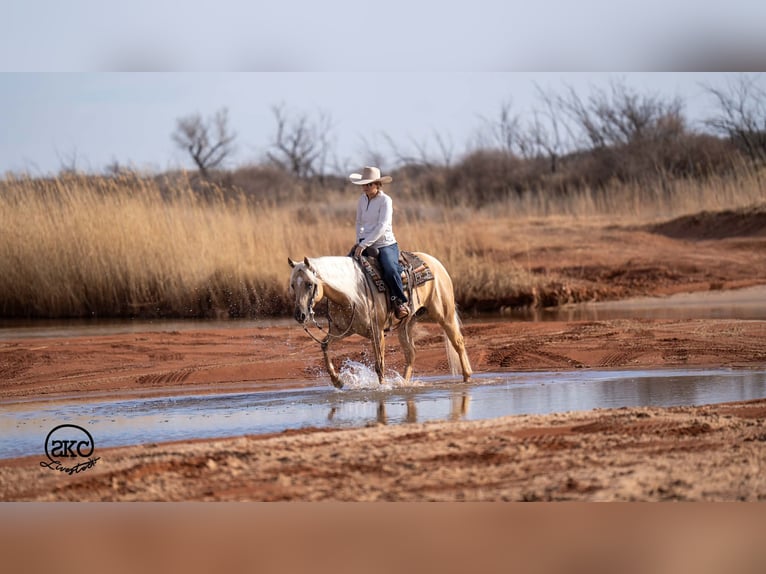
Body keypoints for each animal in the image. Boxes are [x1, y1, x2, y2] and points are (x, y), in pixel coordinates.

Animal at [288, 253, 472, 388]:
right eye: (292, 285)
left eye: (309, 284)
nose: (300, 315)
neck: (351, 293)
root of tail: (436, 263)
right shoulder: (342, 330)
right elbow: (324, 345)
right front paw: (337, 381)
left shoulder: (376, 332)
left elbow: (379, 365)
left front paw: (382, 388)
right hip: (407, 324)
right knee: (410, 353)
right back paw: (403, 383)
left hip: (444, 315)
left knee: (458, 342)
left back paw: (467, 377)